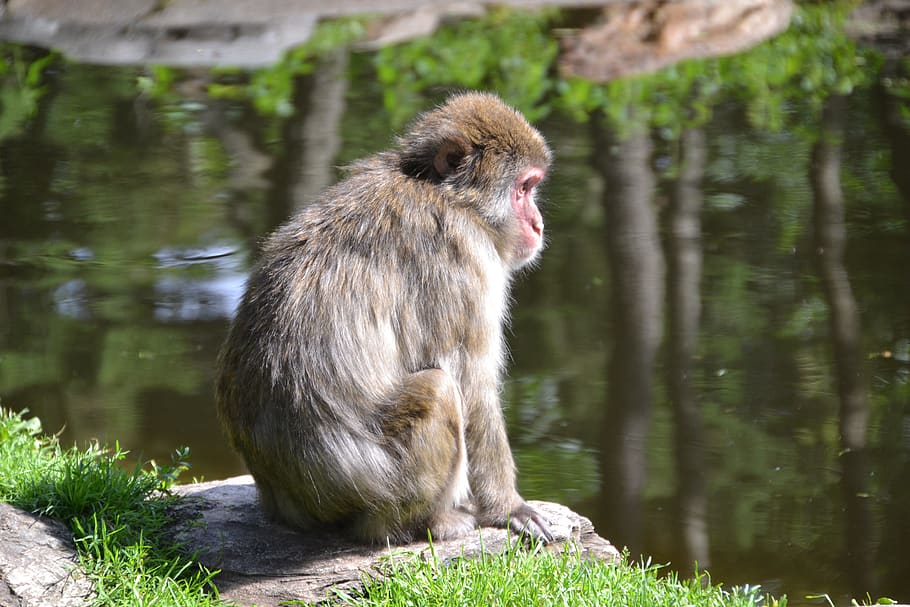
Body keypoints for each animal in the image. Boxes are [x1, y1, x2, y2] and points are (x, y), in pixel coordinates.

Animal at [215, 91, 554, 544]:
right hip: (379, 486)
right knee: (439, 389)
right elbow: (470, 381)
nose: (538, 225)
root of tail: (286, 499)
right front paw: (509, 508)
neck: (445, 195)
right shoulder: (463, 261)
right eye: (524, 188)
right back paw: (426, 522)